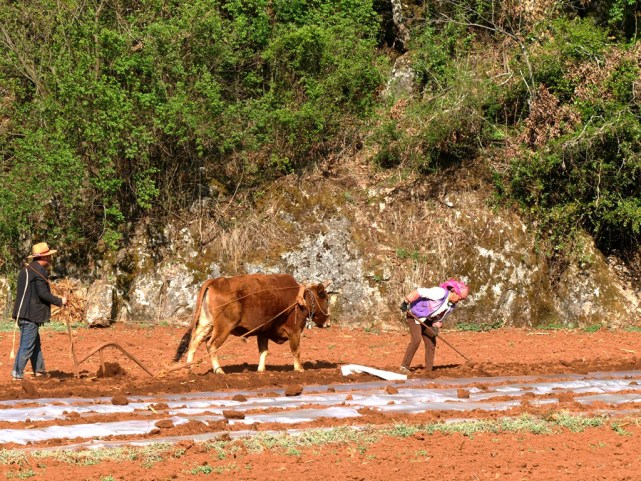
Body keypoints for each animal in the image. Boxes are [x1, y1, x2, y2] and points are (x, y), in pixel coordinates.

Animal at [172, 272, 330, 374]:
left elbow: (264, 351)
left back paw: (190, 368)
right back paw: (219, 370)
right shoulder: (294, 331)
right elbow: (296, 351)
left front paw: (261, 370)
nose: (328, 322)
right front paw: (299, 369)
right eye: (327, 299)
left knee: (194, 342)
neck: (301, 299)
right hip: (223, 327)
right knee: (211, 345)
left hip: (206, 324)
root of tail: (215, 282)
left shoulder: (263, 332)